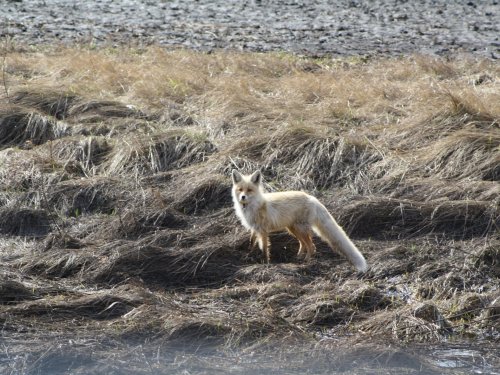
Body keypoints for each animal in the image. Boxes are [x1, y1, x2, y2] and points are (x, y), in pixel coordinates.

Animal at [231, 171, 368, 274]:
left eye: (249, 190)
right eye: (240, 190)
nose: (243, 197)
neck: (253, 207)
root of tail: (311, 197)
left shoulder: (263, 230)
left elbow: (264, 247)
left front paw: (266, 262)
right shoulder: (254, 228)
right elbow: (251, 243)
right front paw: (248, 256)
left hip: (300, 229)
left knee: (312, 247)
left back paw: (306, 262)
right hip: (293, 229)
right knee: (303, 245)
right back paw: (298, 257)